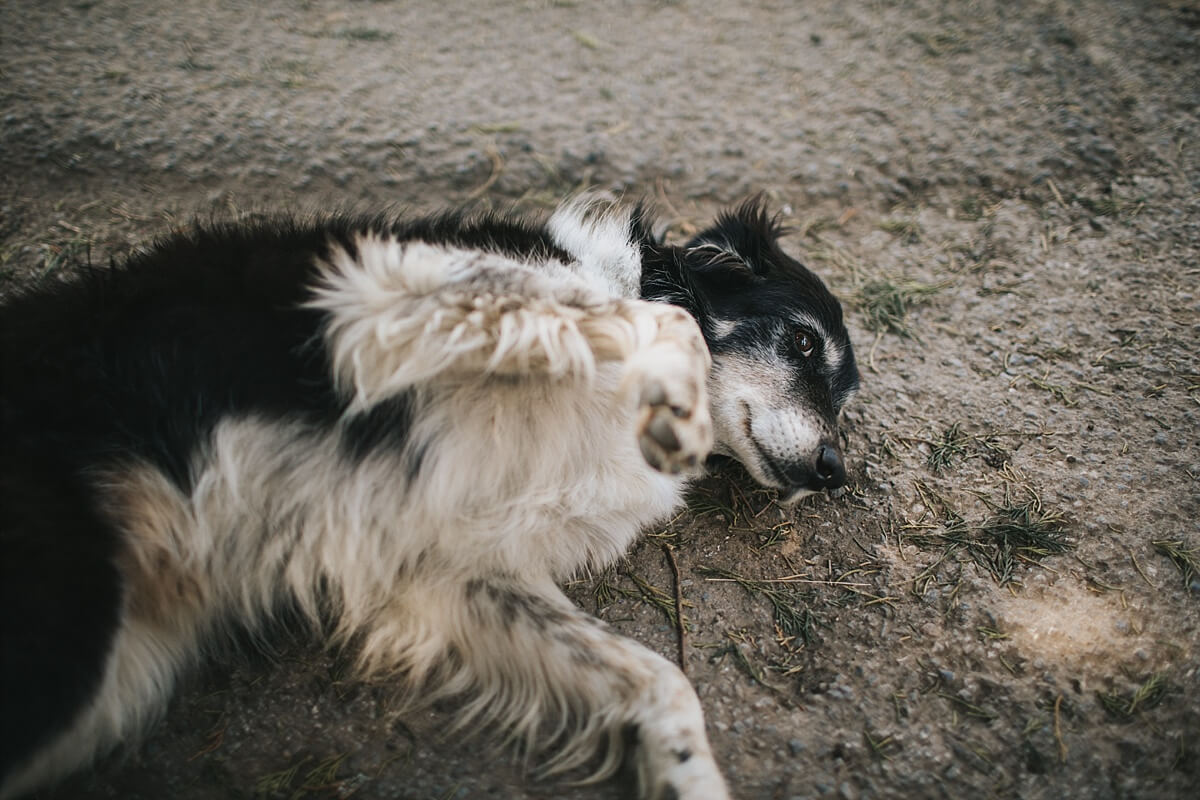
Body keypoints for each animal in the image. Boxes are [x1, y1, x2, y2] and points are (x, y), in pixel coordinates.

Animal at [2, 195, 864, 800]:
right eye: (802, 341)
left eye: (848, 395)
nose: (834, 471)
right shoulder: (385, 295)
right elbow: (664, 320)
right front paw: (674, 401)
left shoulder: (452, 565)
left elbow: (662, 678)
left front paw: (692, 776)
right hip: (70, 624)